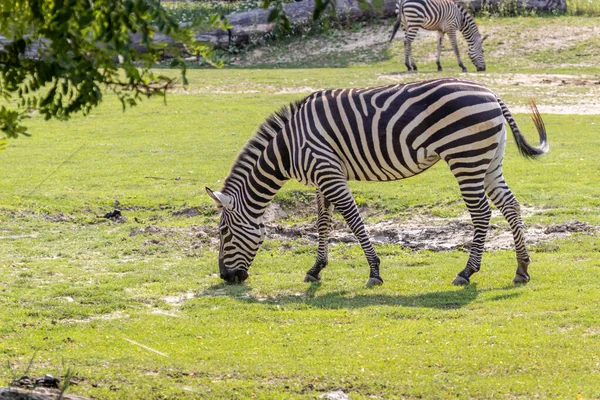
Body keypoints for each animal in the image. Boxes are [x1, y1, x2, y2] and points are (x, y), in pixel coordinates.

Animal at [206, 78, 548, 286]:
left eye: (223, 232)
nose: (224, 276)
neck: (288, 147)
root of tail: (492, 93)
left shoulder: (328, 171)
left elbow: (354, 220)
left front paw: (374, 271)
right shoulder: (323, 176)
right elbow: (323, 223)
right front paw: (316, 269)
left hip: (465, 157)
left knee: (482, 213)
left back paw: (467, 271)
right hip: (488, 161)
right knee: (511, 206)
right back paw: (522, 268)